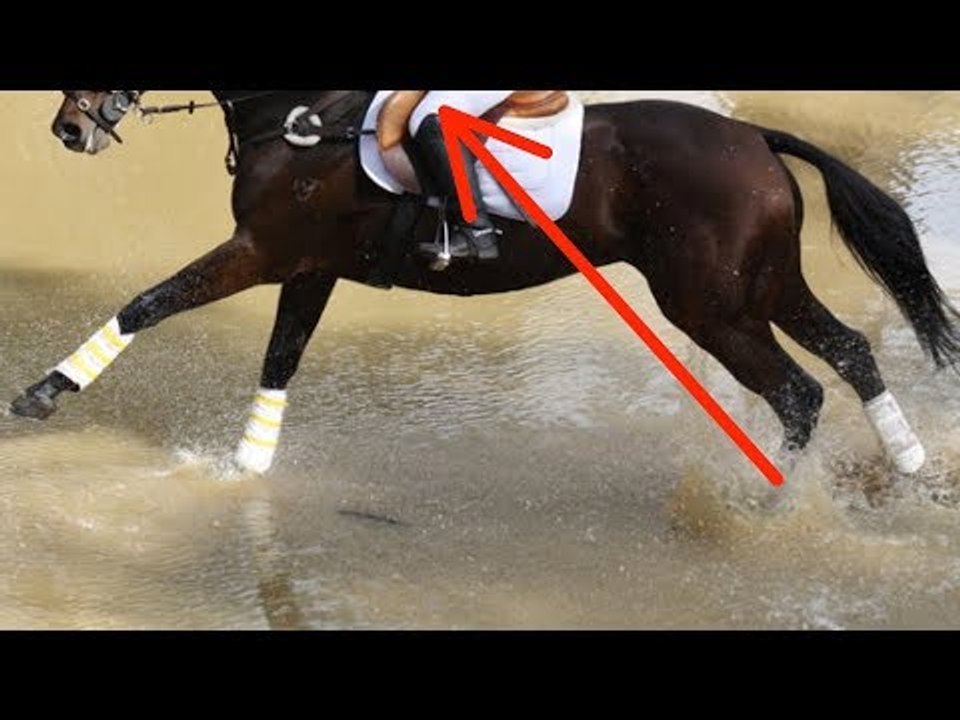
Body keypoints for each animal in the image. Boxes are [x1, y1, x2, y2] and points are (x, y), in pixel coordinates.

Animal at [10, 90, 959, 479]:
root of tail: (758, 136)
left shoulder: (263, 250)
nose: (66, 129)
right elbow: (280, 359)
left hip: (708, 307)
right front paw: (246, 469)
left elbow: (149, 301)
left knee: (799, 391)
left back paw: (771, 501)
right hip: (759, 289)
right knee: (852, 352)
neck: (304, 117)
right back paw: (908, 463)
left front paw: (41, 394)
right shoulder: (308, 269)